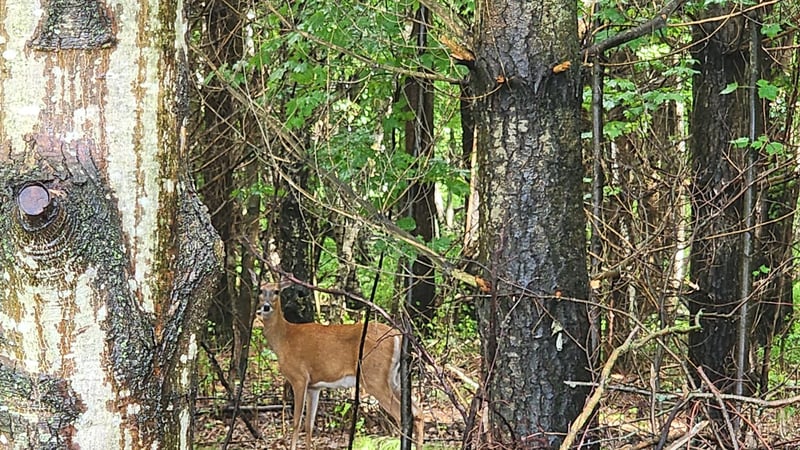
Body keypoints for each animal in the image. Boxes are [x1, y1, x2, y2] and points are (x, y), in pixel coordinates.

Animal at [256, 279, 424, 450]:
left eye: (276, 291)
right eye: (260, 290)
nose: (265, 307)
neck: (284, 339)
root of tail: (397, 336)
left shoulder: (299, 378)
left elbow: (296, 422)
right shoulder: (314, 386)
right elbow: (309, 424)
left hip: (374, 377)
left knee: (402, 416)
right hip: (394, 378)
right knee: (418, 412)